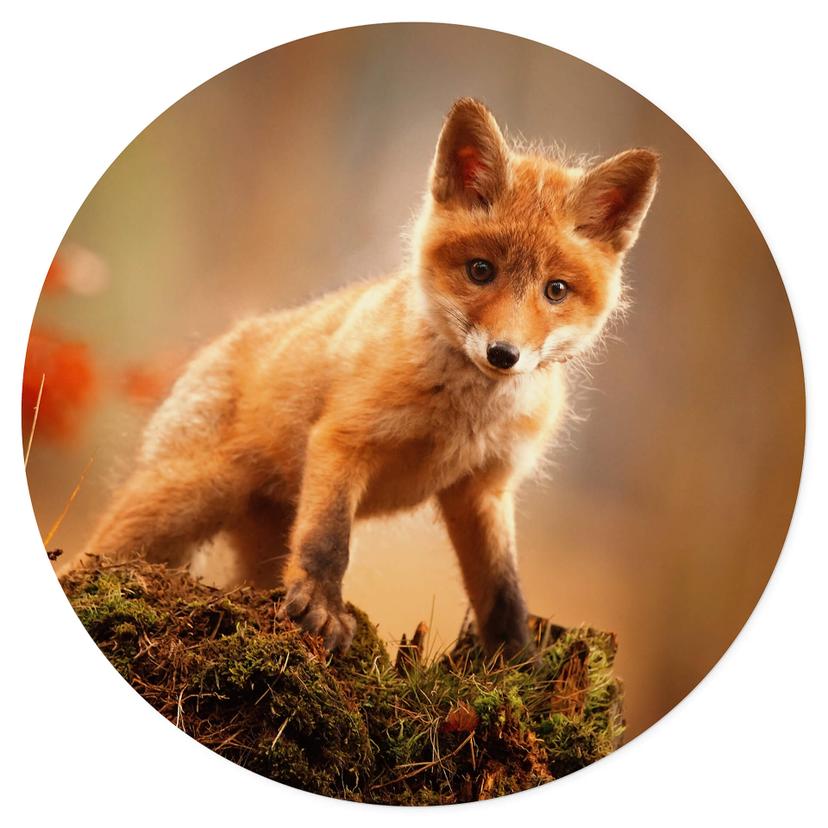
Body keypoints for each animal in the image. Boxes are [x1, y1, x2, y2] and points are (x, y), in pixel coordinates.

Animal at [84, 98, 659, 658]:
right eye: (480, 271)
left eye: (555, 290)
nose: (503, 354)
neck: (463, 417)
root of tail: (218, 344)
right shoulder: (344, 440)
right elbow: (328, 542)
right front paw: (322, 610)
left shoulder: (483, 488)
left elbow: (503, 592)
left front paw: (516, 664)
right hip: (182, 501)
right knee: (93, 556)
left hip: (257, 541)